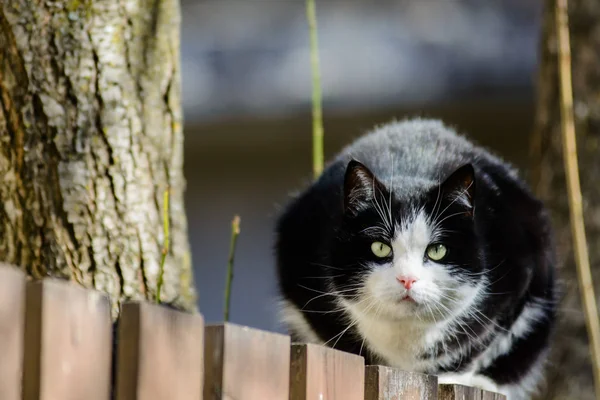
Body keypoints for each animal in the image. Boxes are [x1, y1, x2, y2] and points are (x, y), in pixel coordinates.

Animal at [276, 119, 556, 400]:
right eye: (380, 248)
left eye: (437, 250)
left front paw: (457, 375)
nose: (407, 279)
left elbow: (481, 341)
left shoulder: (519, 271)